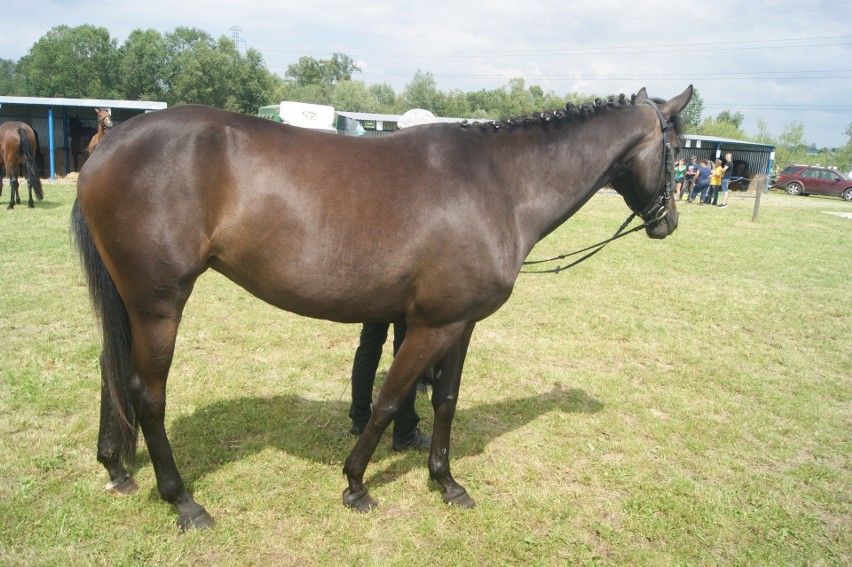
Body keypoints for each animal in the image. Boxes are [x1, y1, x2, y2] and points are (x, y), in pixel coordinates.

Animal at [73, 86, 696, 532]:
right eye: (676, 148)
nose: (668, 223)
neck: (500, 185)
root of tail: (108, 145)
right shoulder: (431, 325)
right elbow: (389, 397)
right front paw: (356, 484)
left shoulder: (460, 323)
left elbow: (444, 401)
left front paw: (446, 482)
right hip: (159, 305)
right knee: (147, 394)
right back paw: (183, 502)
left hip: (131, 302)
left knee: (110, 370)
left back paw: (117, 467)